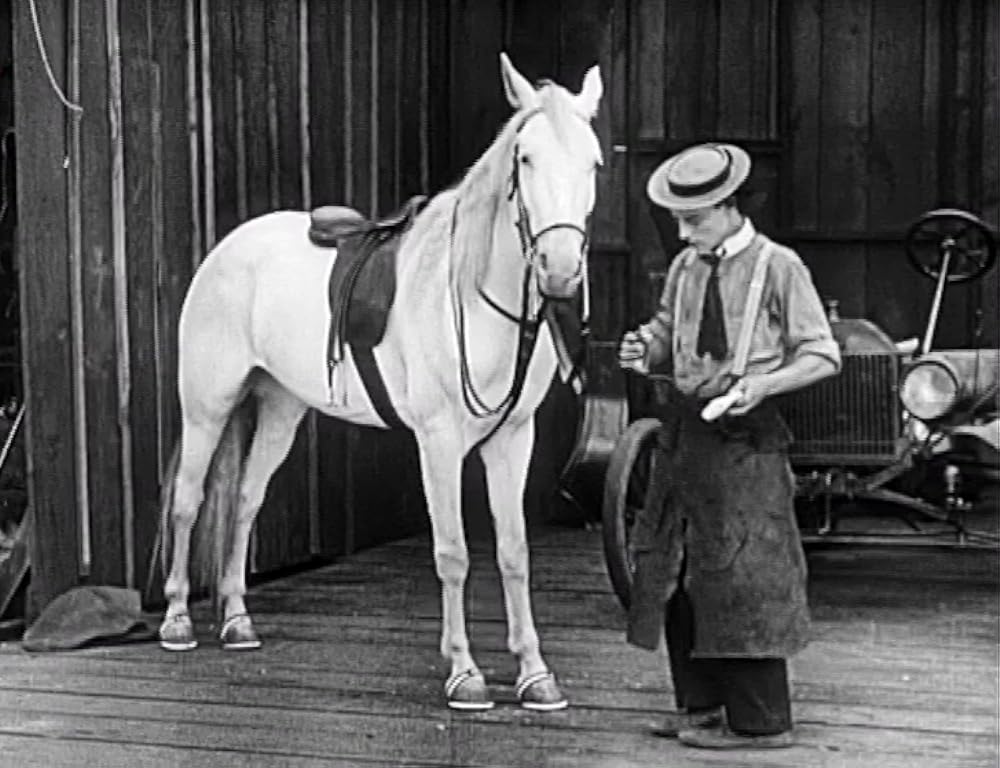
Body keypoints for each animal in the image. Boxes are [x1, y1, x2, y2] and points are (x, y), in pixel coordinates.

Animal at [158, 55, 600, 712]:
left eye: (594, 162)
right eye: (525, 159)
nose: (561, 271)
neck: (472, 292)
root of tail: (229, 248)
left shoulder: (511, 440)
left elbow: (514, 552)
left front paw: (534, 673)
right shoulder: (438, 443)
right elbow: (453, 554)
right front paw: (464, 672)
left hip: (281, 409)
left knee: (245, 500)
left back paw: (237, 619)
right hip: (206, 407)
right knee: (189, 501)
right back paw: (177, 619)